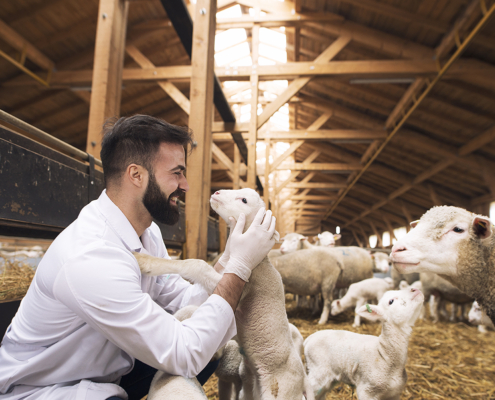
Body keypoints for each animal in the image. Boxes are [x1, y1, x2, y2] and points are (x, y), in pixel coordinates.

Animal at [135, 188, 314, 400]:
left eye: (244, 200)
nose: (217, 192)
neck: (257, 262)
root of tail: (303, 380)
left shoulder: (242, 286)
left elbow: (197, 264)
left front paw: (142, 262)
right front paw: (145, 260)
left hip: (281, 391)